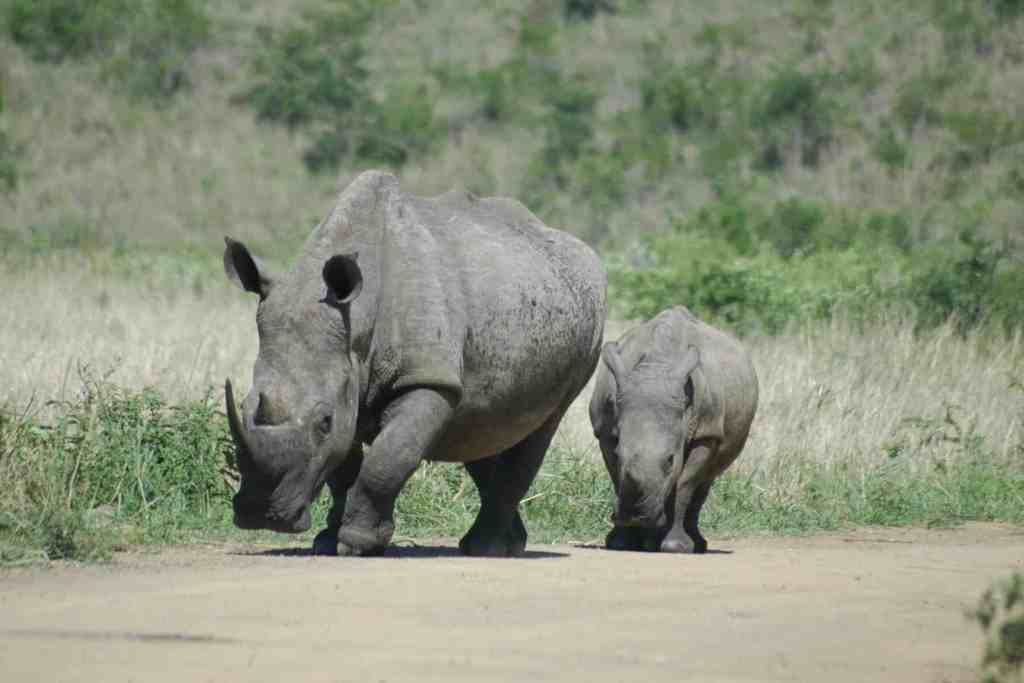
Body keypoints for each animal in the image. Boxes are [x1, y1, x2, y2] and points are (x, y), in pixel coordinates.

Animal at [223, 171, 606, 557]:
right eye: (243, 405)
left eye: (323, 423)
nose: (260, 515)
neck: (356, 318)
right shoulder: (349, 376)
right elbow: (343, 468)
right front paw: (327, 542)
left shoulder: (427, 378)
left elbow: (386, 459)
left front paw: (357, 544)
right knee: (483, 423)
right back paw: (505, 544)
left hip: (590, 322)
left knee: (540, 427)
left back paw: (486, 548)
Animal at [589, 306, 758, 553]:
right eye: (619, 455)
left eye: (670, 460)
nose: (636, 515)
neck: (656, 365)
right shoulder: (605, 431)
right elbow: (615, 476)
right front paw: (620, 543)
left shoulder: (706, 432)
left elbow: (684, 485)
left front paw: (675, 547)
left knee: (704, 483)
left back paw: (695, 545)